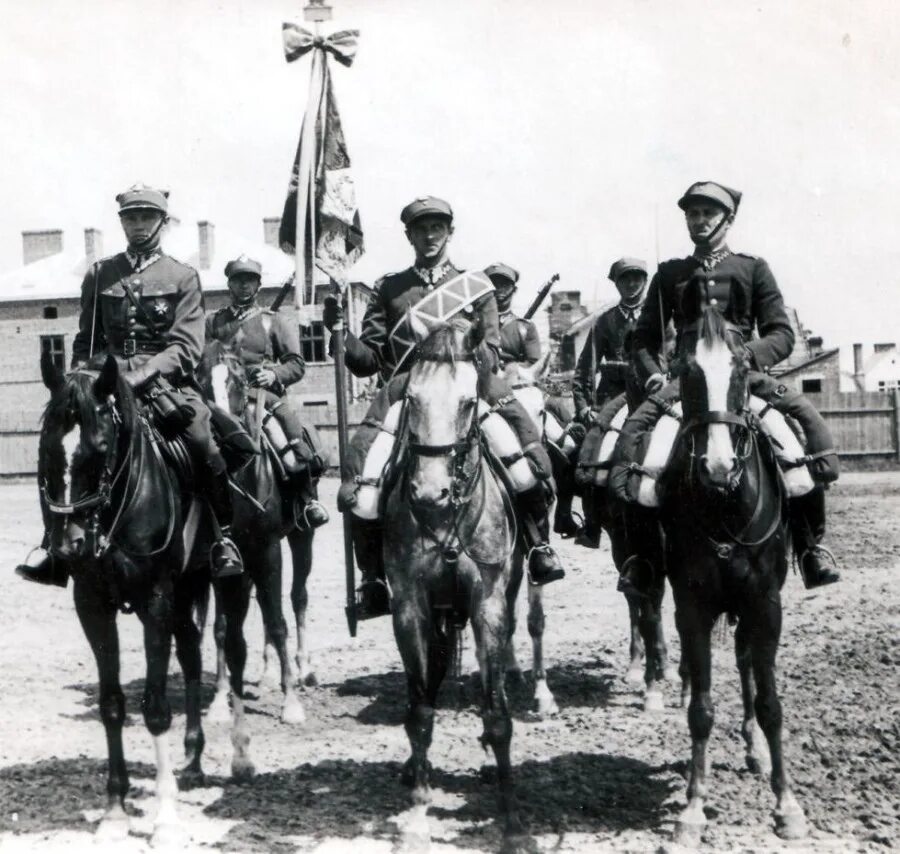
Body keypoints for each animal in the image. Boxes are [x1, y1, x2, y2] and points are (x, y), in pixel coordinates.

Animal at [35, 354, 251, 848]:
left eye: (98, 448)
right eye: (47, 449)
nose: (68, 545)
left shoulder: (155, 602)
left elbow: (154, 709)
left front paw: (165, 819)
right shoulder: (93, 606)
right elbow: (112, 704)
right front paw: (115, 811)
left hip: (238, 578)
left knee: (233, 649)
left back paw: (240, 756)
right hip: (187, 589)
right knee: (191, 655)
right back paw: (193, 759)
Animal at [200, 338, 316, 724]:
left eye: (238, 380)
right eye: (199, 381)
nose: (220, 433)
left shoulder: (269, 549)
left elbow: (278, 621)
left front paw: (291, 703)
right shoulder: (222, 560)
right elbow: (222, 627)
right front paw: (219, 701)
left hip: (299, 539)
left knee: (296, 598)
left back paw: (304, 668)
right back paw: (266, 675)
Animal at [384, 324, 532, 852]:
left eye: (470, 402)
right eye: (411, 398)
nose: (429, 493)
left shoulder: (489, 605)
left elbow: (498, 714)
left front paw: (511, 821)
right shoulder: (410, 607)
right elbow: (420, 708)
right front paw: (417, 811)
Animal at [660, 282, 808, 848]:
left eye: (743, 370)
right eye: (686, 371)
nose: (719, 468)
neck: (725, 505)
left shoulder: (766, 605)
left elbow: (770, 703)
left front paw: (787, 805)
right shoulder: (693, 606)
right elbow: (700, 709)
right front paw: (693, 809)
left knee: (747, 662)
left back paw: (755, 751)